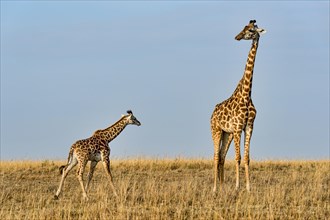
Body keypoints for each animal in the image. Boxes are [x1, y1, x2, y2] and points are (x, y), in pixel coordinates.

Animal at [211, 20, 266, 192]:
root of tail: (212, 112)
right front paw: (237, 187)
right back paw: (214, 188)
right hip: (216, 130)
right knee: (216, 156)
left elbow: (246, 158)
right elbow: (238, 157)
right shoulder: (237, 128)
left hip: (226, 134)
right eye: (244, 27)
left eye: (251, 30)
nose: (237, 37)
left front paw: (248, 187)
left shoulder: (248, 127)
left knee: (222, 156)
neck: (247, 94)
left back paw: (222, 188)